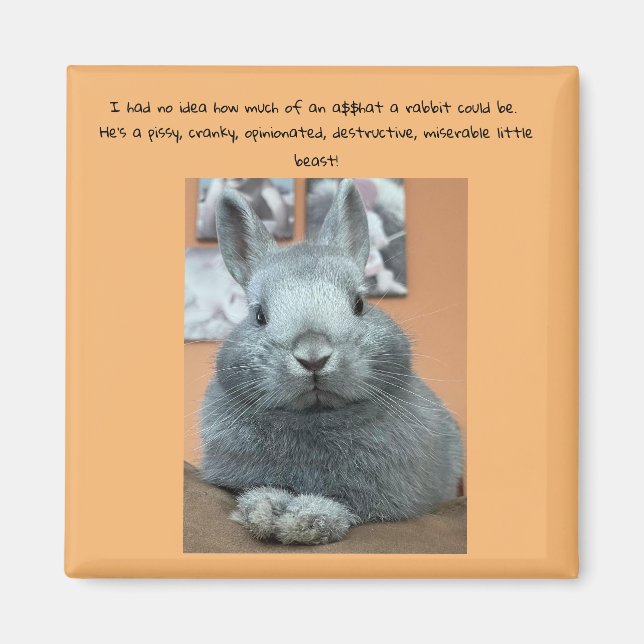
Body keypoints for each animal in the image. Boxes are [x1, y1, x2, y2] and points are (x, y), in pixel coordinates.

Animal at [199, 179, 463, 545]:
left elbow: (346, 507)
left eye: (360, 304)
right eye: (259, 316)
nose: (313, 356)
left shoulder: (381, 496)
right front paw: (263, 509)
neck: (316, 415)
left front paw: (301, 520)